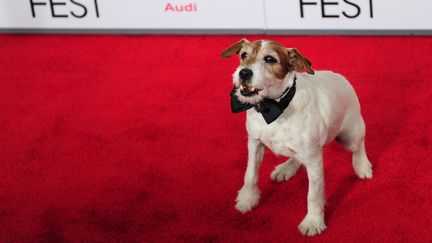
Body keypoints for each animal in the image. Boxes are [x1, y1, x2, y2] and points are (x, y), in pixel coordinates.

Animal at [221, 39, 372, 236]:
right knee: (296, 157)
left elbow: (313, 195)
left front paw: (313, 221)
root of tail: (341, 77)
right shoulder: (254, 143)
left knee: (359, 145)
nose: (244, 72)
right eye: (243, 55)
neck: (275, 107)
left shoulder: (315, 161)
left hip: (349, 136)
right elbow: (250, 173)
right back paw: (287, 168)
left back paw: (362, 165)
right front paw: (247, 199)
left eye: (270, 59)